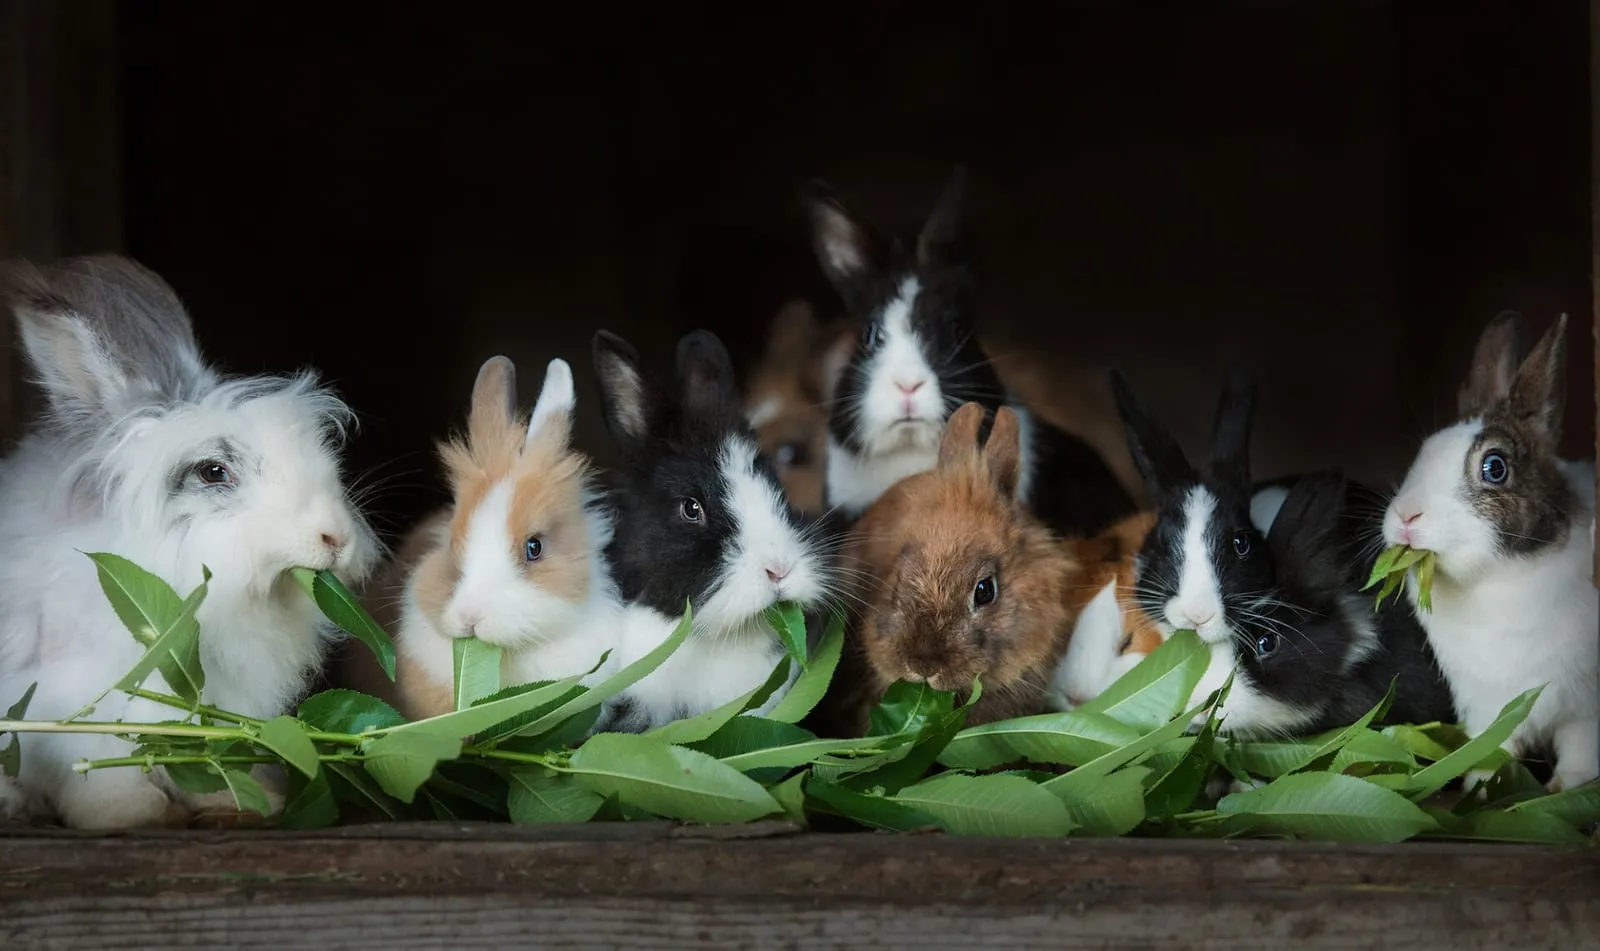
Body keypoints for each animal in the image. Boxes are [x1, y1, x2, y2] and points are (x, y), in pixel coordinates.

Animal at [0, 255, 380, 829]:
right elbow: (94, 760)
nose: (335, 537)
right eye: (214, 472)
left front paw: (236, 803)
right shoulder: (71, 697)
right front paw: (130, 813)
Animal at [1382, 312, 1598, 792]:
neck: (1498, 578)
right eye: (1424, 452)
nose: (1406, 516)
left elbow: (1580, 748)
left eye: (1494, 467)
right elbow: (1491, 748)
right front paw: (1479, 786)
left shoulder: (1584, 709)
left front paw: (1570, 787)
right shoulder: (1488, 708)